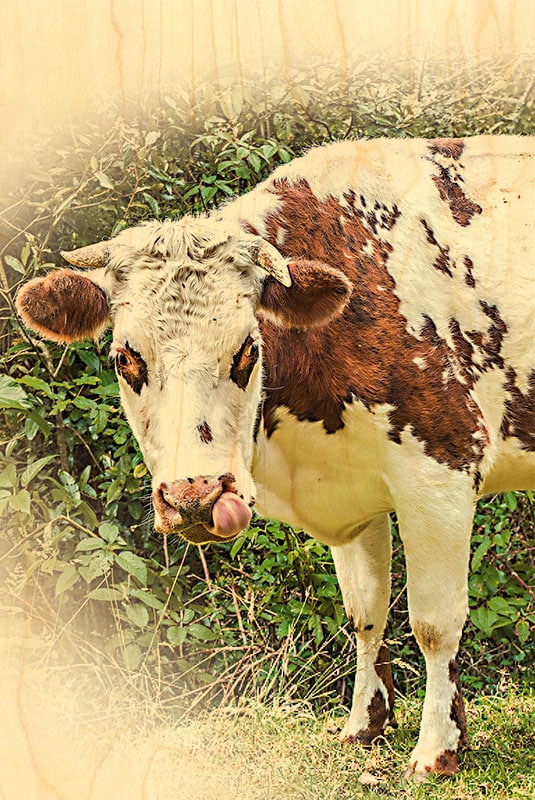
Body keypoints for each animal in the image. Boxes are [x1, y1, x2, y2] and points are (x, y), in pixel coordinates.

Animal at [16, 135, 534, 778]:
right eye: (125, 358)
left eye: (247, 349)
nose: (195, 496)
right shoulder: (355, 494)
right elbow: (365, 613)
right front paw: (364, 726)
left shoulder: (442, 469)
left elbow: (435, 623)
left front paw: (437, 749)